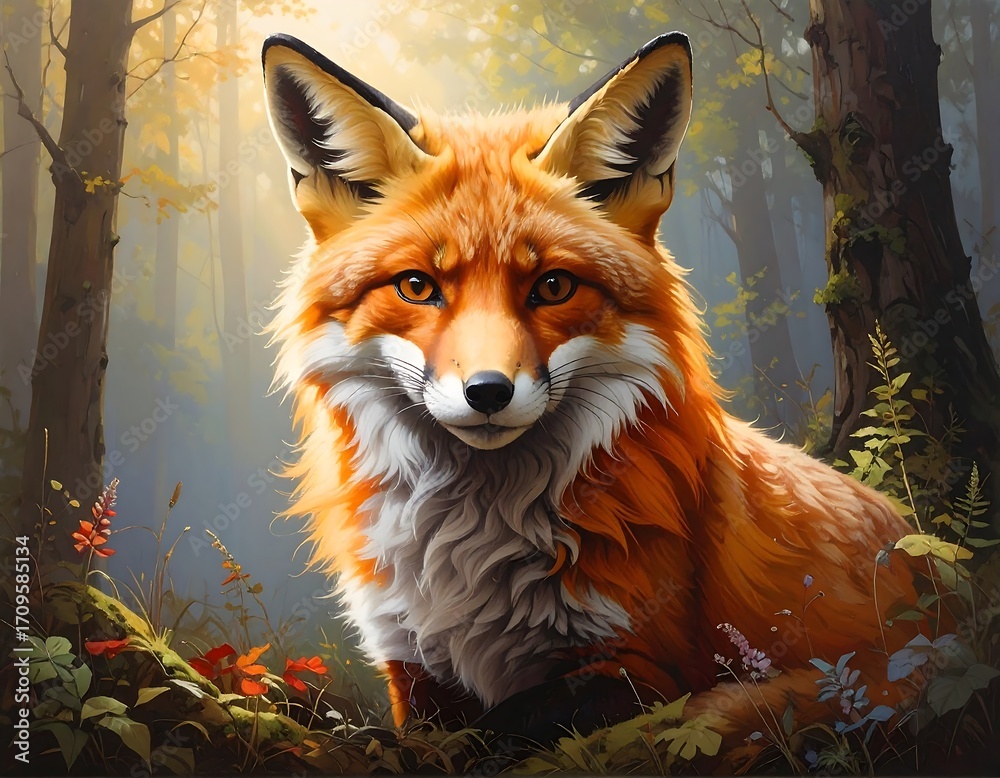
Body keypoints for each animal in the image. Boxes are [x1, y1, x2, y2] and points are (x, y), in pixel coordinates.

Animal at [261, 32, 940, 744]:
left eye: (554, 286)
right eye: (417, 286)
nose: (488, 392)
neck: (472, 551)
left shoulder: (639, 668)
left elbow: (502, 732)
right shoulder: (412, 665)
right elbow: (430, 736)